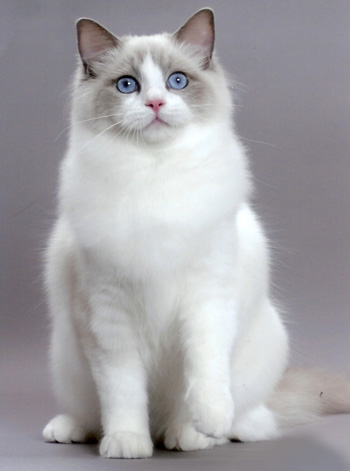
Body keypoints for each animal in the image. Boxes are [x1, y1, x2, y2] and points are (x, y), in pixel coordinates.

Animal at [41, 6, 350, 458]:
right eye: (128, 85)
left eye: (177, 81)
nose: (155, 102)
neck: (154, 176)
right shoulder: (108, 314)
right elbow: (122, 392)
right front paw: (128, 443)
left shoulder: (206, 299)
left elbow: (202, 374)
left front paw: (200, 430)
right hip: (67, 357)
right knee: (90, 413)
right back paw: (72, 429)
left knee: (254, 416)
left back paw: (211, 433)